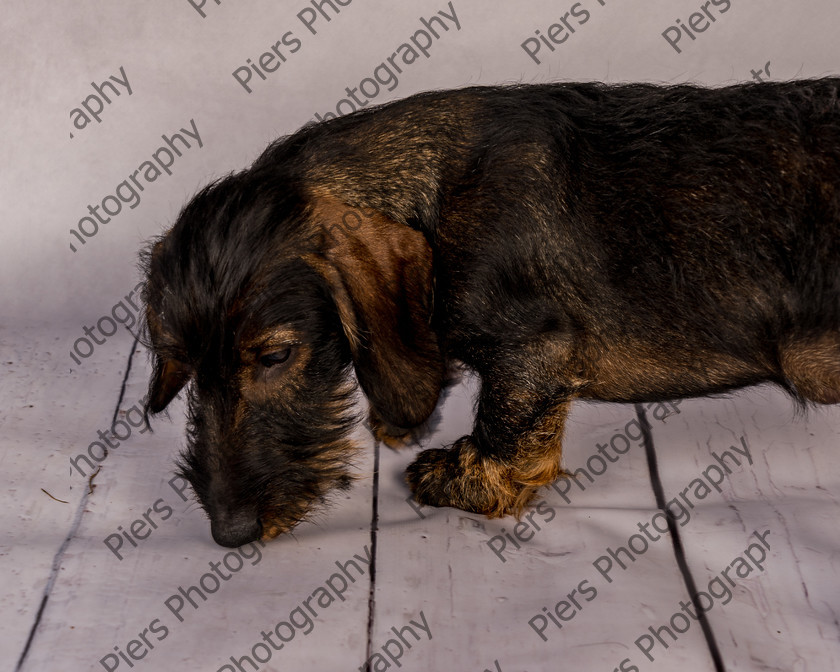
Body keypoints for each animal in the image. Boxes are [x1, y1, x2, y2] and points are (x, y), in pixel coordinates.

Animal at [141, 81, 836, 548]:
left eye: (276, 356)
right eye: (184, 365)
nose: (230, 533)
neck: (432, 190)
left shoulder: (536, 349)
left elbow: (507, 419)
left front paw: (464, 477)